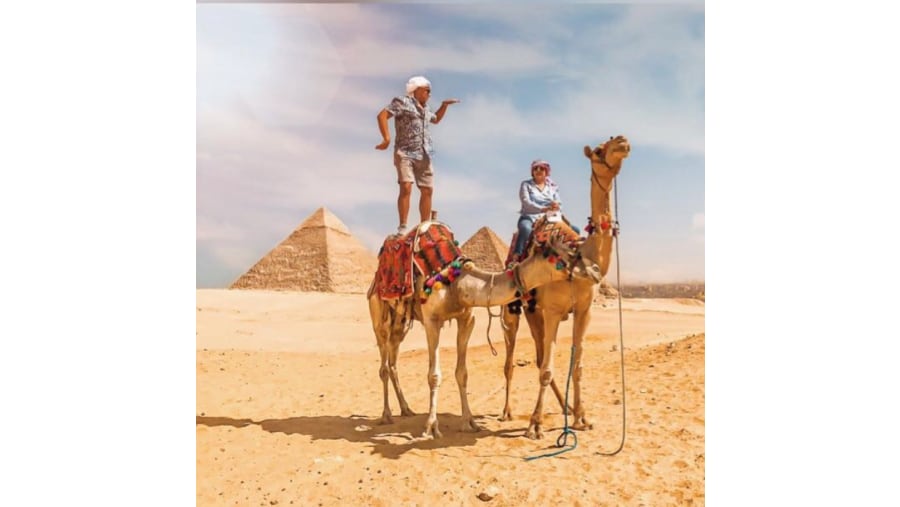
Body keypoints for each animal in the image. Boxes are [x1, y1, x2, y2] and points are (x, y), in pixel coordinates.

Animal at [366, 223, 596, 440]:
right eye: (568, 255)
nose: (594, 270)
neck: (456, 281)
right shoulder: (432, 321)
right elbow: (434, 375)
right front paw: (431, 427)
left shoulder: (467, 319)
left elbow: (462, 373)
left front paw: (469, 422)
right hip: (378, 315)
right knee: (384, 364)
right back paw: (386, 415)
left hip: (401, 322)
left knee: (393, 362)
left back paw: (406, 409)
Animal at [500, 136, 632, 440]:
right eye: (599, 150)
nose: (622, 141)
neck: (576, 259)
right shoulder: (552, 310)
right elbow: (547, 369)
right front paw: (535, 425)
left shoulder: (583, 311)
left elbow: (578, 366)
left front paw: (582, 416)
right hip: (513, 311)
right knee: (512, 360)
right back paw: (507, 412)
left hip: (534, 311)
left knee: (538, 356)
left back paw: (566, 409)